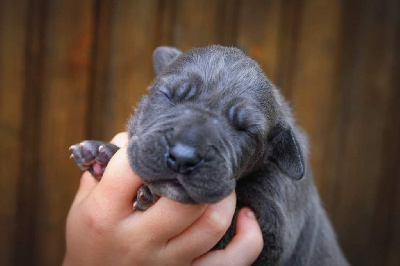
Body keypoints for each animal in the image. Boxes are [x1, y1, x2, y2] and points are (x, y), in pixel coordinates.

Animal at [70, 44, 348, 264]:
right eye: (168, 96)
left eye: (245, 130)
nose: (183, 157)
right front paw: (101, 153)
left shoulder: (273, 229)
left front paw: (149, 193)